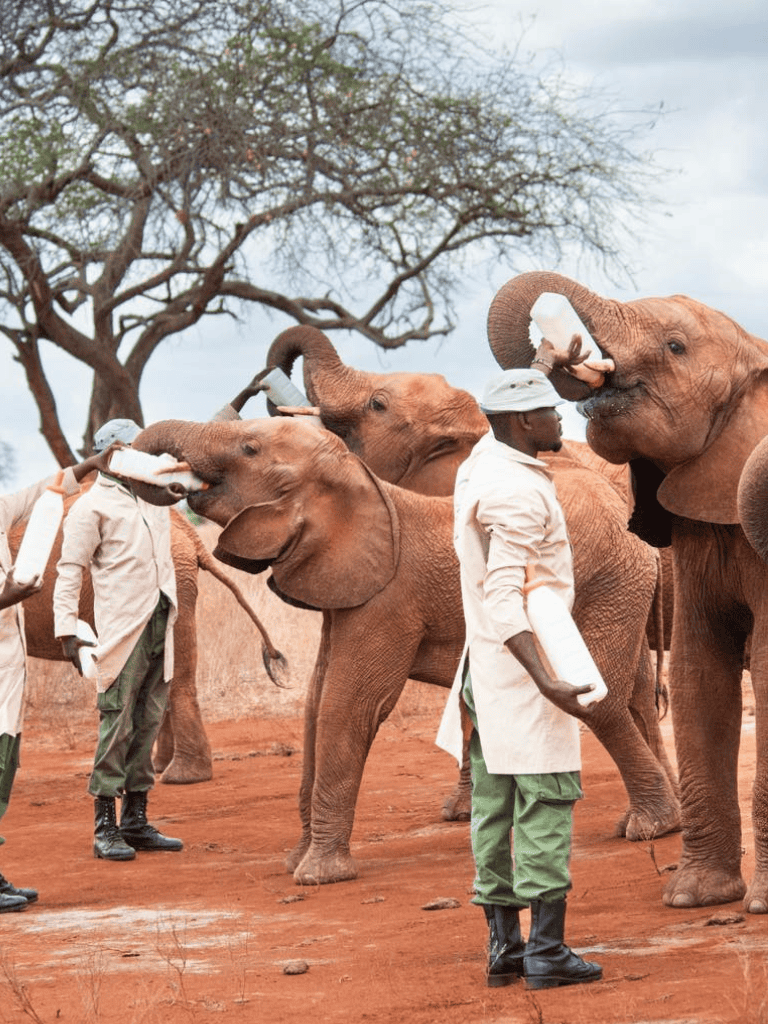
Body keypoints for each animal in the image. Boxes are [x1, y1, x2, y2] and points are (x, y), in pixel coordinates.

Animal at [133, 414, 680, 887]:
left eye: (249, 449)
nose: (174, 487)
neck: (365, 484)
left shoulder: (388, 599)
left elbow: (348, 706)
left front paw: (318, 876)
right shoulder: (348, 589)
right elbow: (315, 703)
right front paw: (297, 861)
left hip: (608, 582)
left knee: (599, 701)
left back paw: (650, 827)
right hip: (618, 586)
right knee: (634, 694)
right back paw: (657, 820)